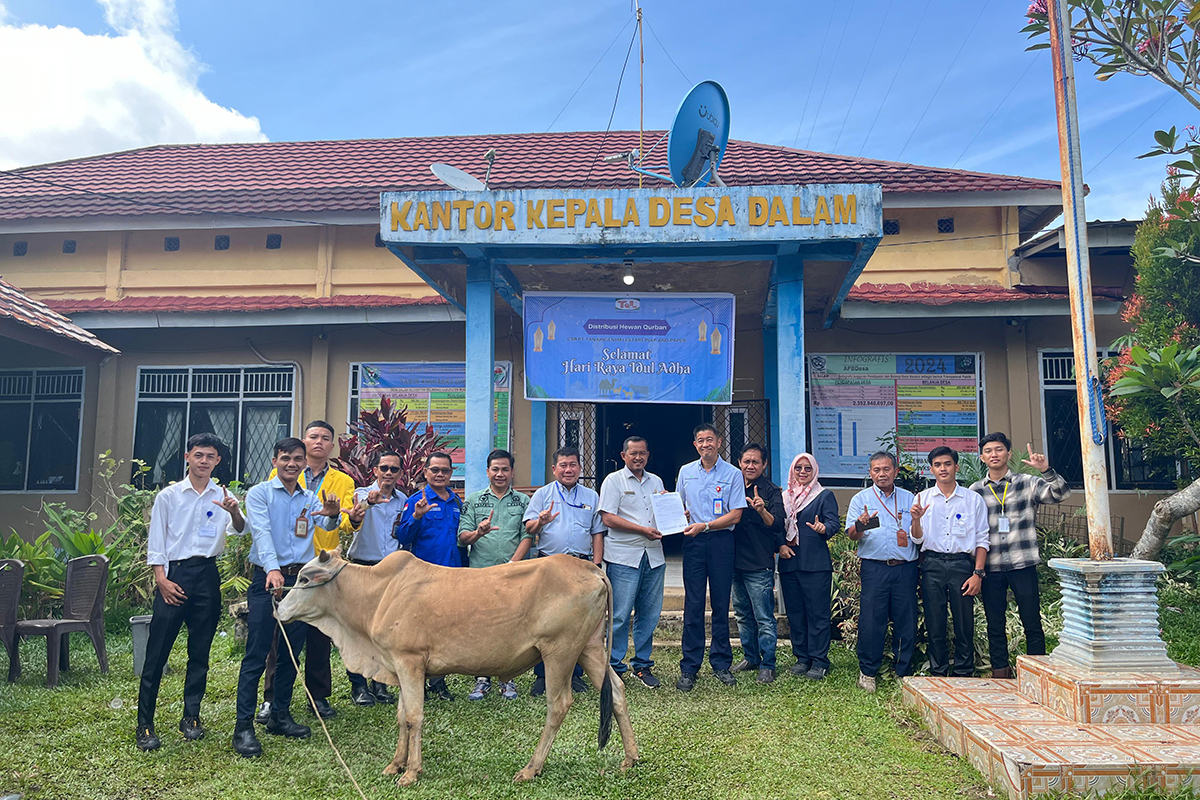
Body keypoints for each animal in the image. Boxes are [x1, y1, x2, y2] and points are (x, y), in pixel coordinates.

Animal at [277, 554, 643, 786]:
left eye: (305, 578)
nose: (278, 608)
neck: (377, 594)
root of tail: (590, 567)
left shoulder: (409, 661)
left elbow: (414, 717)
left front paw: (411, 772)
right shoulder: (399, 665)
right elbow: (402, 716)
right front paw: (395, 764)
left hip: (560, 651)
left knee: (559, 704)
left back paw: (531, 768)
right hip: (590, 648)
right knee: (617, 692)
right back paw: (630, 758)